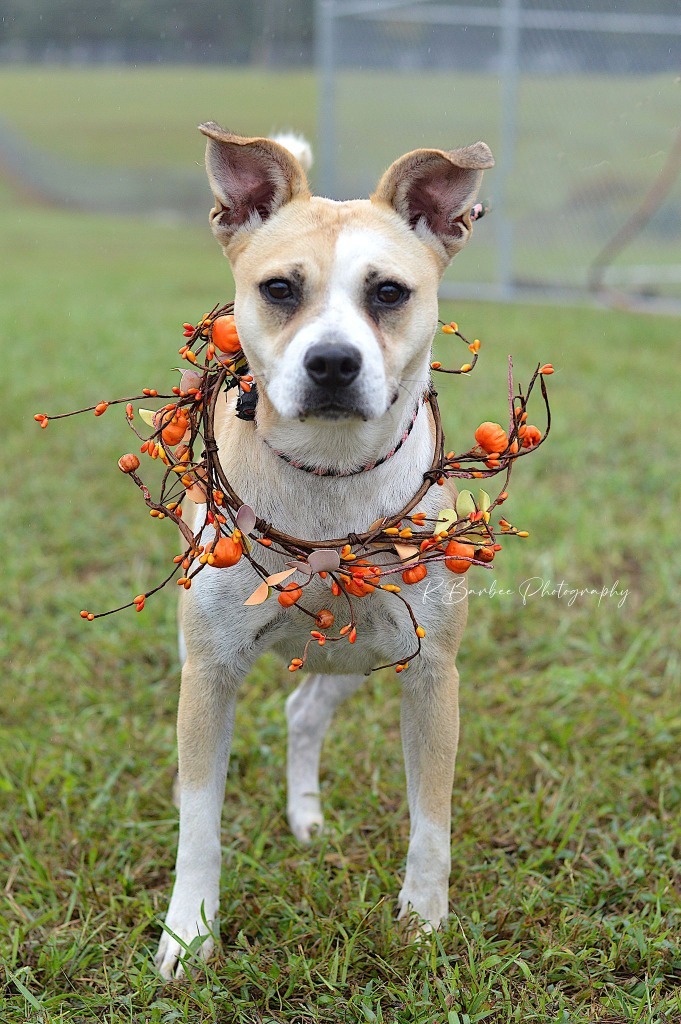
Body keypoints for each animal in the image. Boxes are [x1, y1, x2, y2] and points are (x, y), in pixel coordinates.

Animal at [155, 123, 493, 978]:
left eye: (389, 293)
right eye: (279, 289)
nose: (333, 362)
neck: (327, 477)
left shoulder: (432, 675)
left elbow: (432, 822)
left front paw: (422, 923)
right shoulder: (208, 672)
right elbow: (198, 822)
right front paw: (189, 934)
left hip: (366, 647)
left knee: (305, 708)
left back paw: (305, 816)